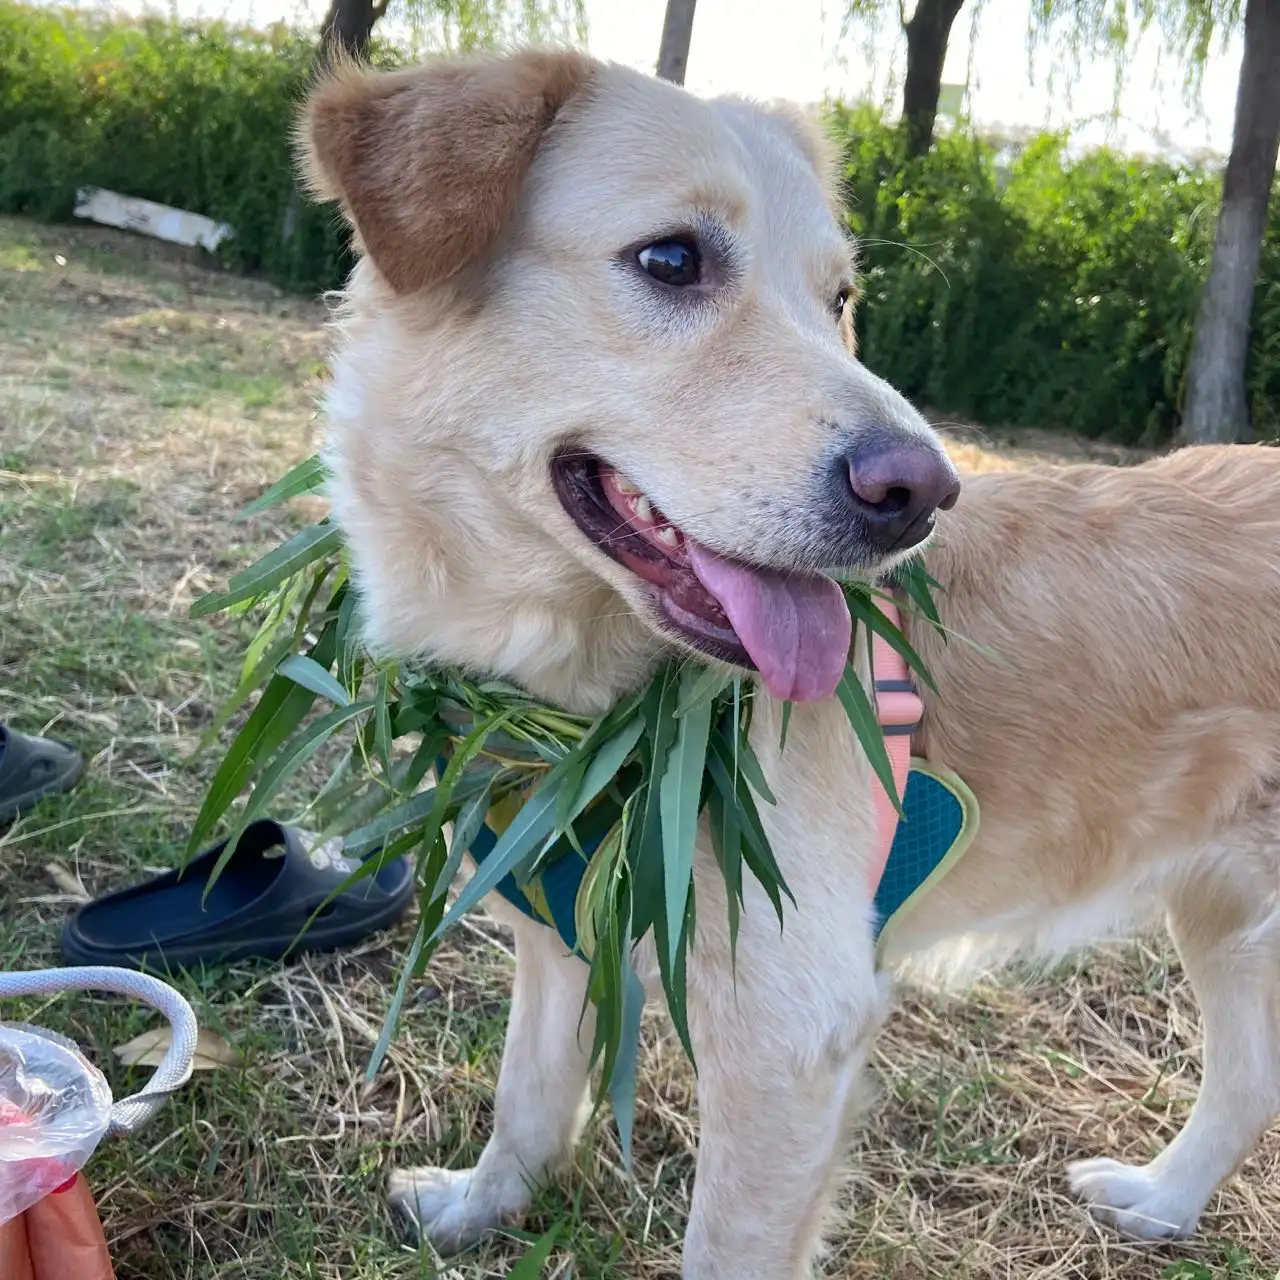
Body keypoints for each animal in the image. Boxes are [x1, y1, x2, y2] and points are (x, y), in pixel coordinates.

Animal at [302, 49, 1280, 1280]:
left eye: (838, 299)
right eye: (671, 259)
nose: (922, 492)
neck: (579, 709)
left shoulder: (791, 1040)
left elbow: (721, 1245)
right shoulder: (563, 923)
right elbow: (528, 1095)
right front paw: (481, 1207)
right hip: (1220, 915)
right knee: (1247, 1080)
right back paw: (1160, 1199)